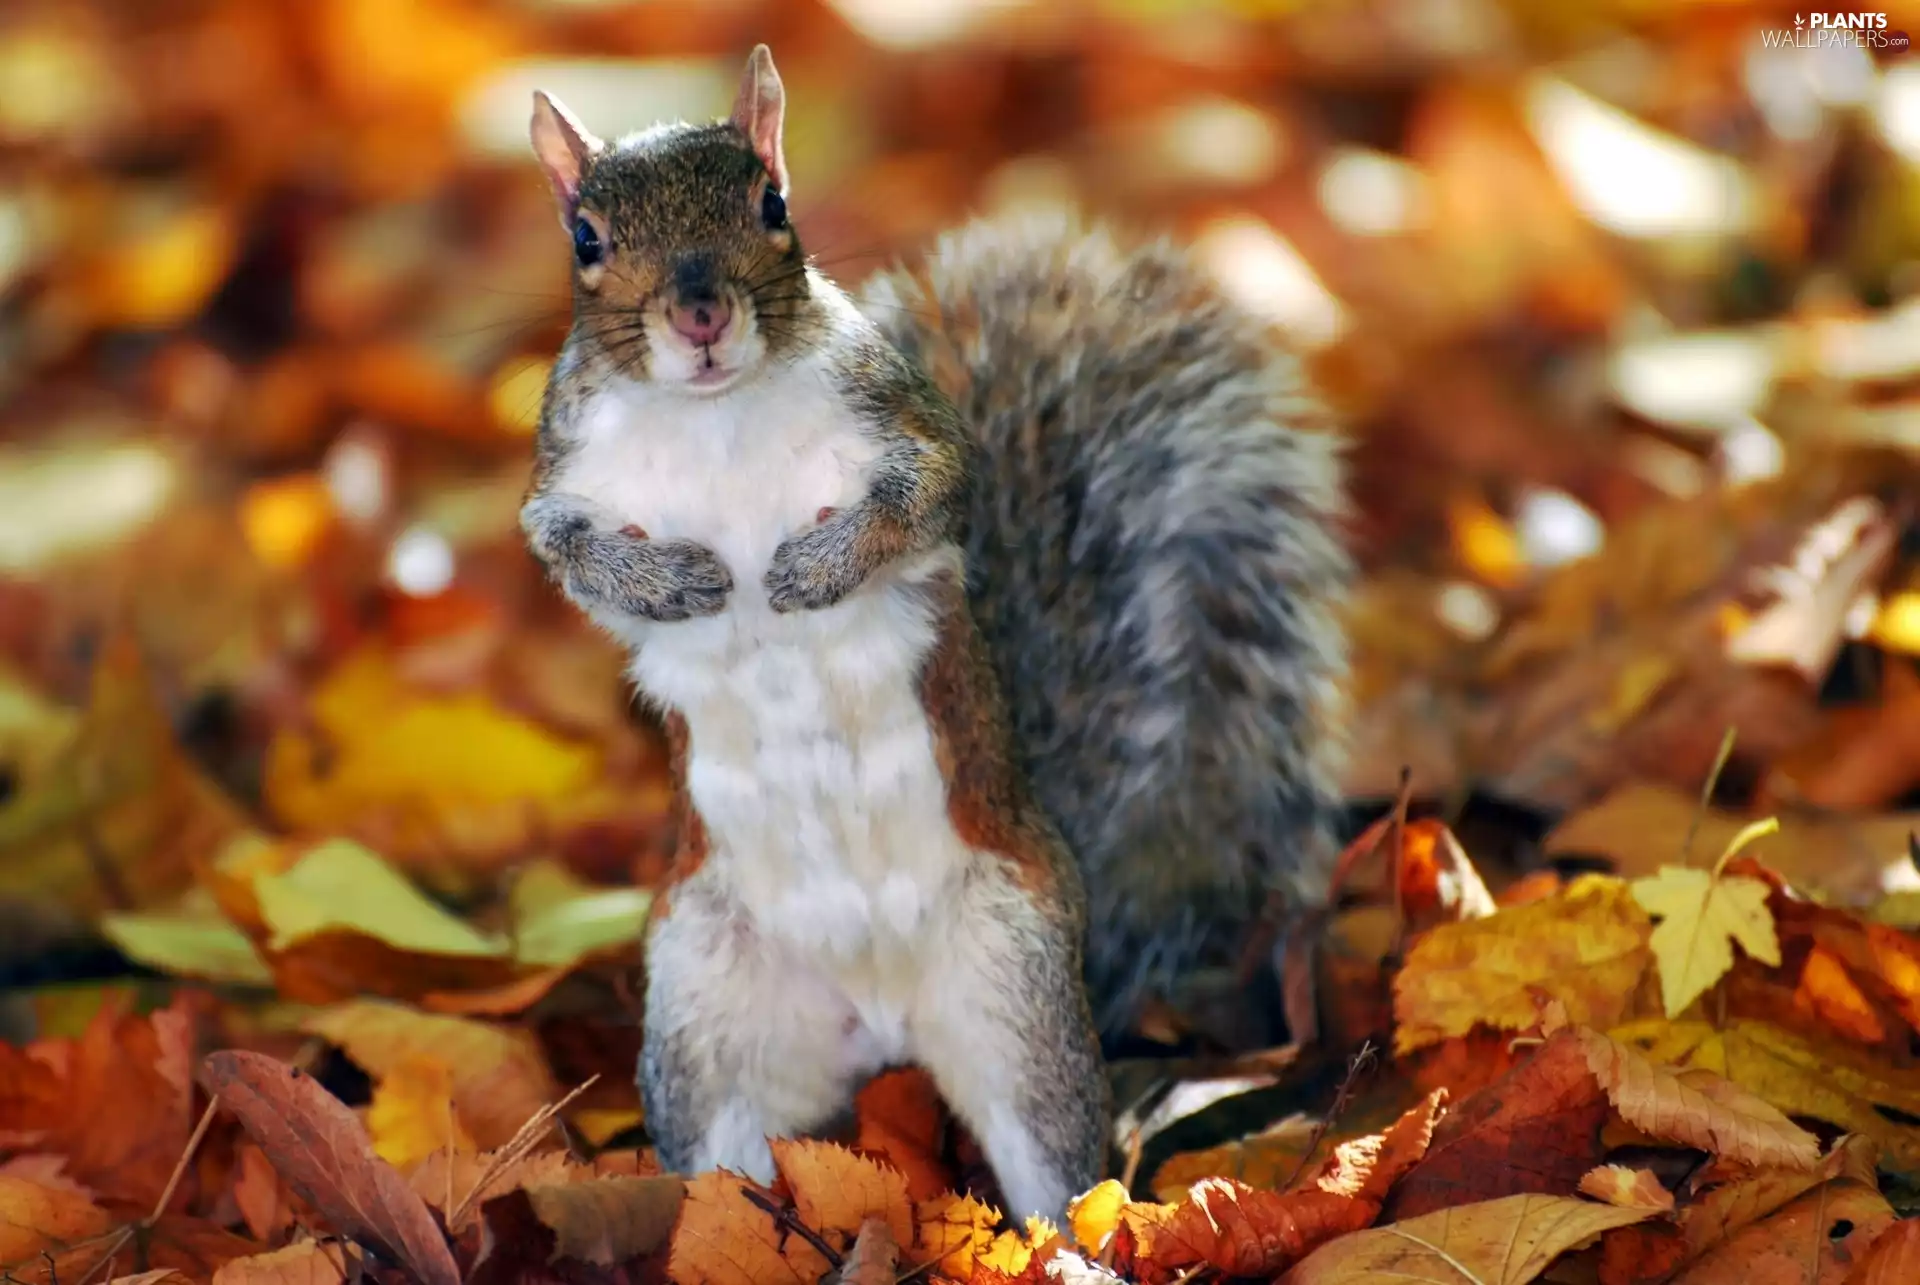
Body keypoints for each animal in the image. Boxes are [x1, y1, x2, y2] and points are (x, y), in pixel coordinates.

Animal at [518, 45, 1351, 1224]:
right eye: (586, 239)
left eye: (772, 204)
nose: (700, 314)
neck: (718, 417)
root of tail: (880, 1022)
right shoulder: (565, 483)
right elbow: (569, 555)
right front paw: (676, 582)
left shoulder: (910, 429)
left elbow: (927, 500)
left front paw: (812, 570)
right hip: (701, 1011)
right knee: (724, 1161)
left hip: (1016, 987)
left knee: (1055, 1153)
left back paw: (1070, 1243)